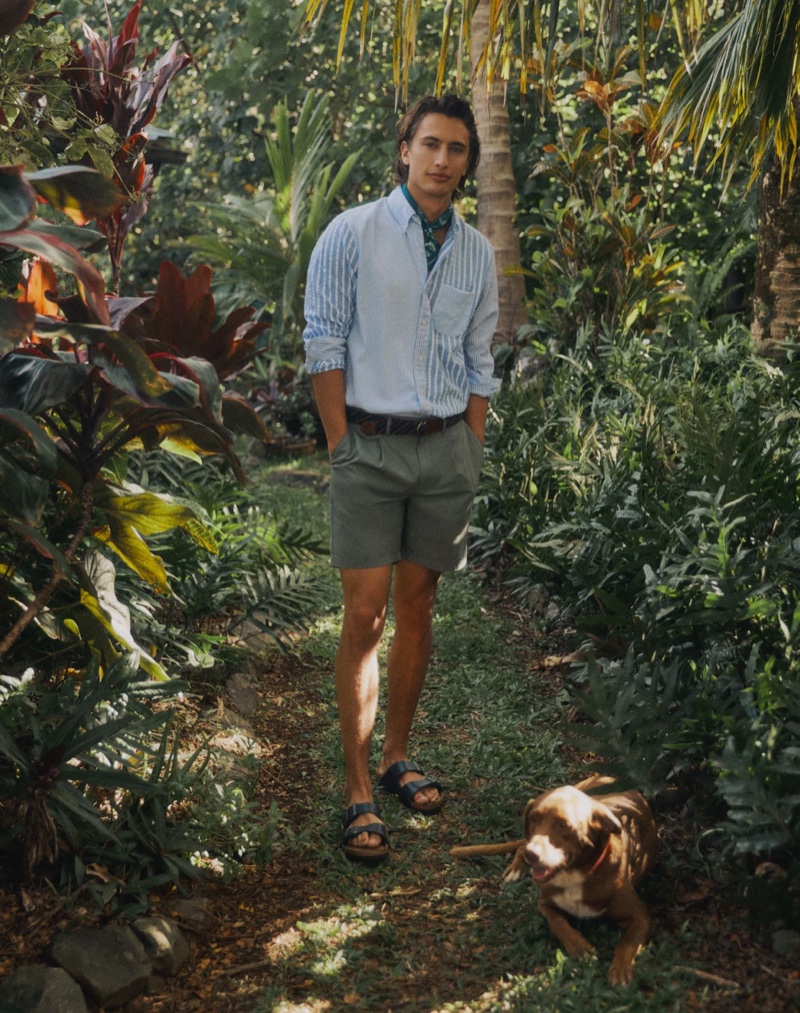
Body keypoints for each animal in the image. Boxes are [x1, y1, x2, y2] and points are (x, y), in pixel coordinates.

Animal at [451, 777, 656, 984]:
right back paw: (516, 868)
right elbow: (558, 923)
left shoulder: (641, 917)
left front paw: (620, 970)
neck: (575, 874)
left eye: (563, 825)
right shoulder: (544, 904)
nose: (531, 854)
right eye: (533, 818)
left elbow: (627, 943)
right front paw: (579, 946)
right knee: (520, 845)